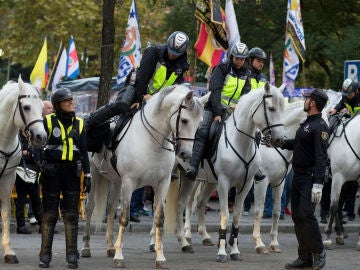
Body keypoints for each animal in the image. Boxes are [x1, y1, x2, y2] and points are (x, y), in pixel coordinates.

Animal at [80, 85, 207, 268]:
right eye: (184, 120)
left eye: (199, 122)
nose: (186, 154)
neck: (151, 141)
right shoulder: (129, 183)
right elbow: (124, 217)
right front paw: (119, 257)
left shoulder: (162, 183)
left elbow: (159, 218)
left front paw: (160, 257)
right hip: (95, 175)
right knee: (90, 208)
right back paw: (86, 247)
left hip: (116, 182)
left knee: (111, 208)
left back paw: (110, 247)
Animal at [167, 82, 286, 262]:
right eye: (271, 108)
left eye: (282, 108)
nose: (280, 140)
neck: (240, 142)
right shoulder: (224, 183)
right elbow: (225, 215)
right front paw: (222, 252)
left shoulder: (246, 185)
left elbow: (236, 216)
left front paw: (235, 251)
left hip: (198, 180)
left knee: (186, 203)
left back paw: (187, 243)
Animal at [322, 112, 360, 249]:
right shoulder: (338, 177)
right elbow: (333, 206)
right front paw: (327, 237)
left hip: (347, 184)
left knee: (340, 204)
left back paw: (340, 233)